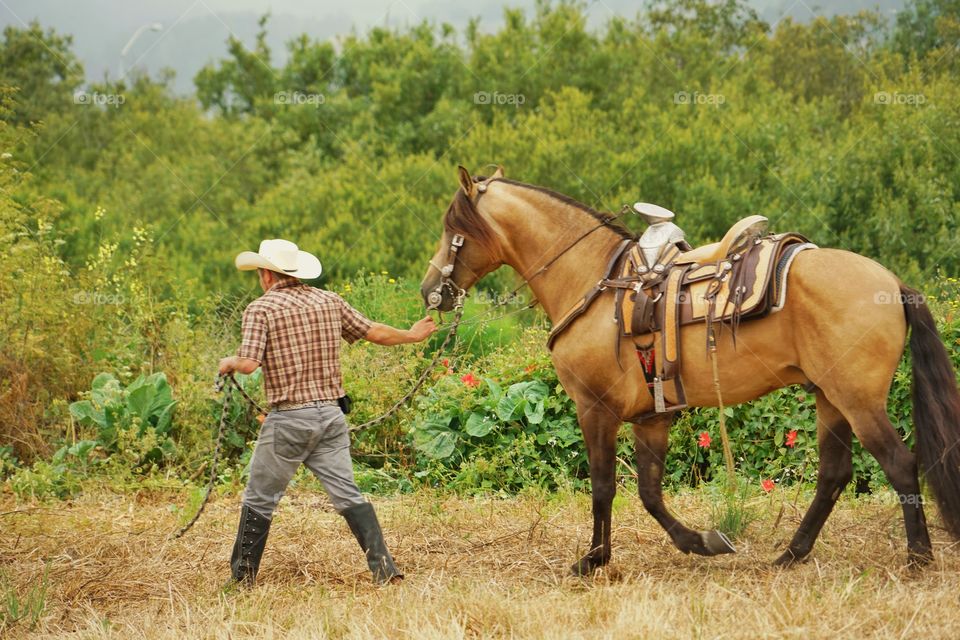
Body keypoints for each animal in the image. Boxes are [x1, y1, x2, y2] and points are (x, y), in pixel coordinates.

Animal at [419, 166, 960, 575]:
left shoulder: (595, 409)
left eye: (451, 229)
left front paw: (593, 560)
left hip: (857, 400)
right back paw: (791, 554)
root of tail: (892, 284)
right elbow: (649, 492)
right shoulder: (652, 417)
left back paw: (918, 557)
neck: (595, 282)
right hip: (830, 398)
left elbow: (603, 486)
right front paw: (702, 542)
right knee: (834, 474)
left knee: (900, 464)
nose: (431, 291)